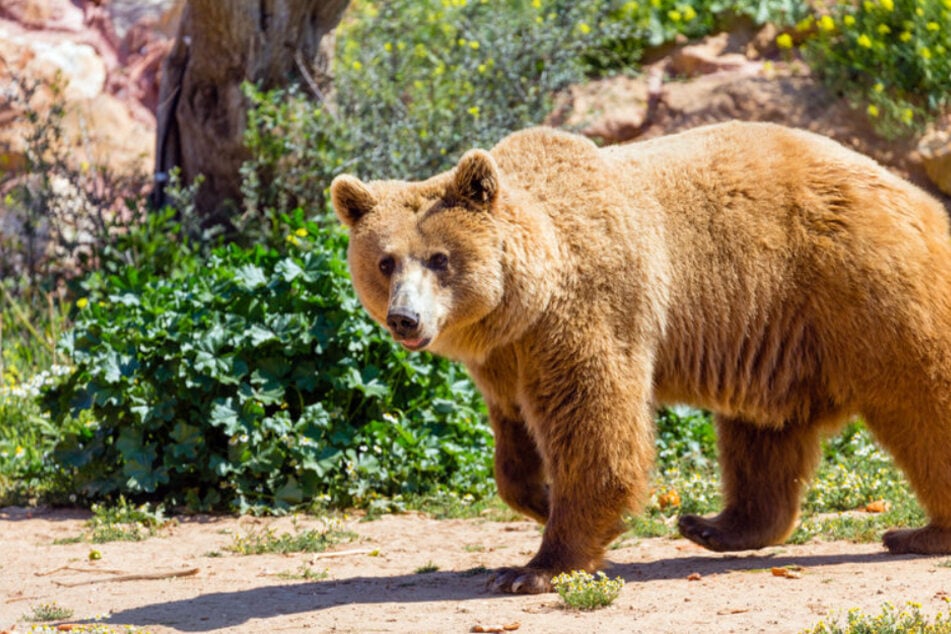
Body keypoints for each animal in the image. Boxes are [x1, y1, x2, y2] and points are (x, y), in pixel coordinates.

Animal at [330, 122, 951, 592]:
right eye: (385, 262)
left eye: (439, 258)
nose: (405, 319)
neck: (526, 298)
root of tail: (915, 195)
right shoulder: (506, 357)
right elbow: (513, 440)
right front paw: (539, 497)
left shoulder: (588, 312)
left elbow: (595, 425)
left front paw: (534, 567)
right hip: (775, 331)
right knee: (762, 434)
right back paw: (714, 525)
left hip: (860, 289)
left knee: (922, 399)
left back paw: (918, 533)